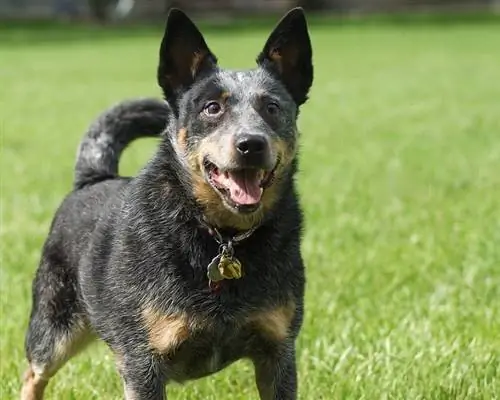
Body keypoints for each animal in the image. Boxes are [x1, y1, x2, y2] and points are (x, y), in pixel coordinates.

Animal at [23, 7, 314, 400]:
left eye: (272, 107)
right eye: (212, 108)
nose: (251, 144)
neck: (221, 237)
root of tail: (93, 177)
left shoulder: (278, 350)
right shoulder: (141, 361)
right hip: (54, 327)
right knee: (33, 373)